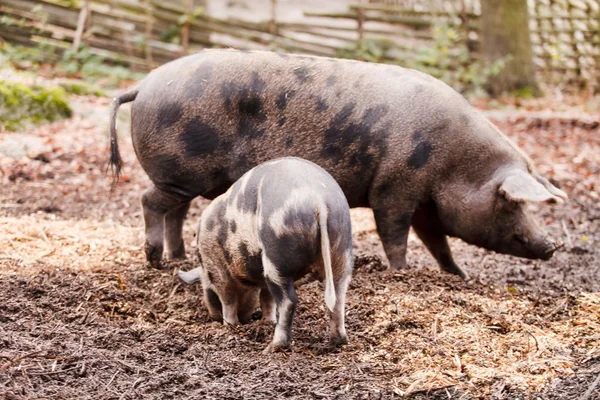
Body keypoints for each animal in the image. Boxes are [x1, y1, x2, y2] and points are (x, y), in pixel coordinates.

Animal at [109, 49, 568, 278]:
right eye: (511, 202)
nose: (552, 245)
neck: (452, 164)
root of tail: (142, 85)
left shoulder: (425, 205)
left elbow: (438, 243)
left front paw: (459, 277)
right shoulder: (395, 190)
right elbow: (395, 235)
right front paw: (400, 273)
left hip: (185, 177)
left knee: (175, 211)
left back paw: (178, 259)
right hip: (179, 172)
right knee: (150, 202)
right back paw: (155, 260)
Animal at [180, 158, 354, 352]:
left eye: (206, 288)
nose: (213, 316)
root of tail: (318, 199)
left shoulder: (217, 267)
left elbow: (228, 298)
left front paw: (230, 326)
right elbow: (266, 299)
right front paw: (267, 321)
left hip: (276, 256)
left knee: (288, 301)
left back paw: (272, 348)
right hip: (341, 247)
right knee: (338, 296)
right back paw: (337, 342)